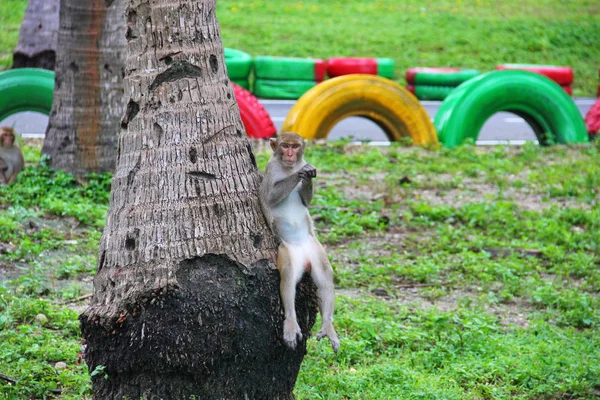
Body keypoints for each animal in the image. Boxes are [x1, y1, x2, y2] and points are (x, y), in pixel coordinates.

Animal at [260, 132, 340, 354]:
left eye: (295, 146)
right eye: (285, 145)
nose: (289, 154)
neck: (288, 168)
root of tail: (304, 256)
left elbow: (306, 201)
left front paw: (308, 174)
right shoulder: (270, 168)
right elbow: (271, 196)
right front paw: (302, 173)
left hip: (314, 247)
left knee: (324, 274)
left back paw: (328, 325)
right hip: (287, 250)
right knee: (288, 277)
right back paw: (290, 321)